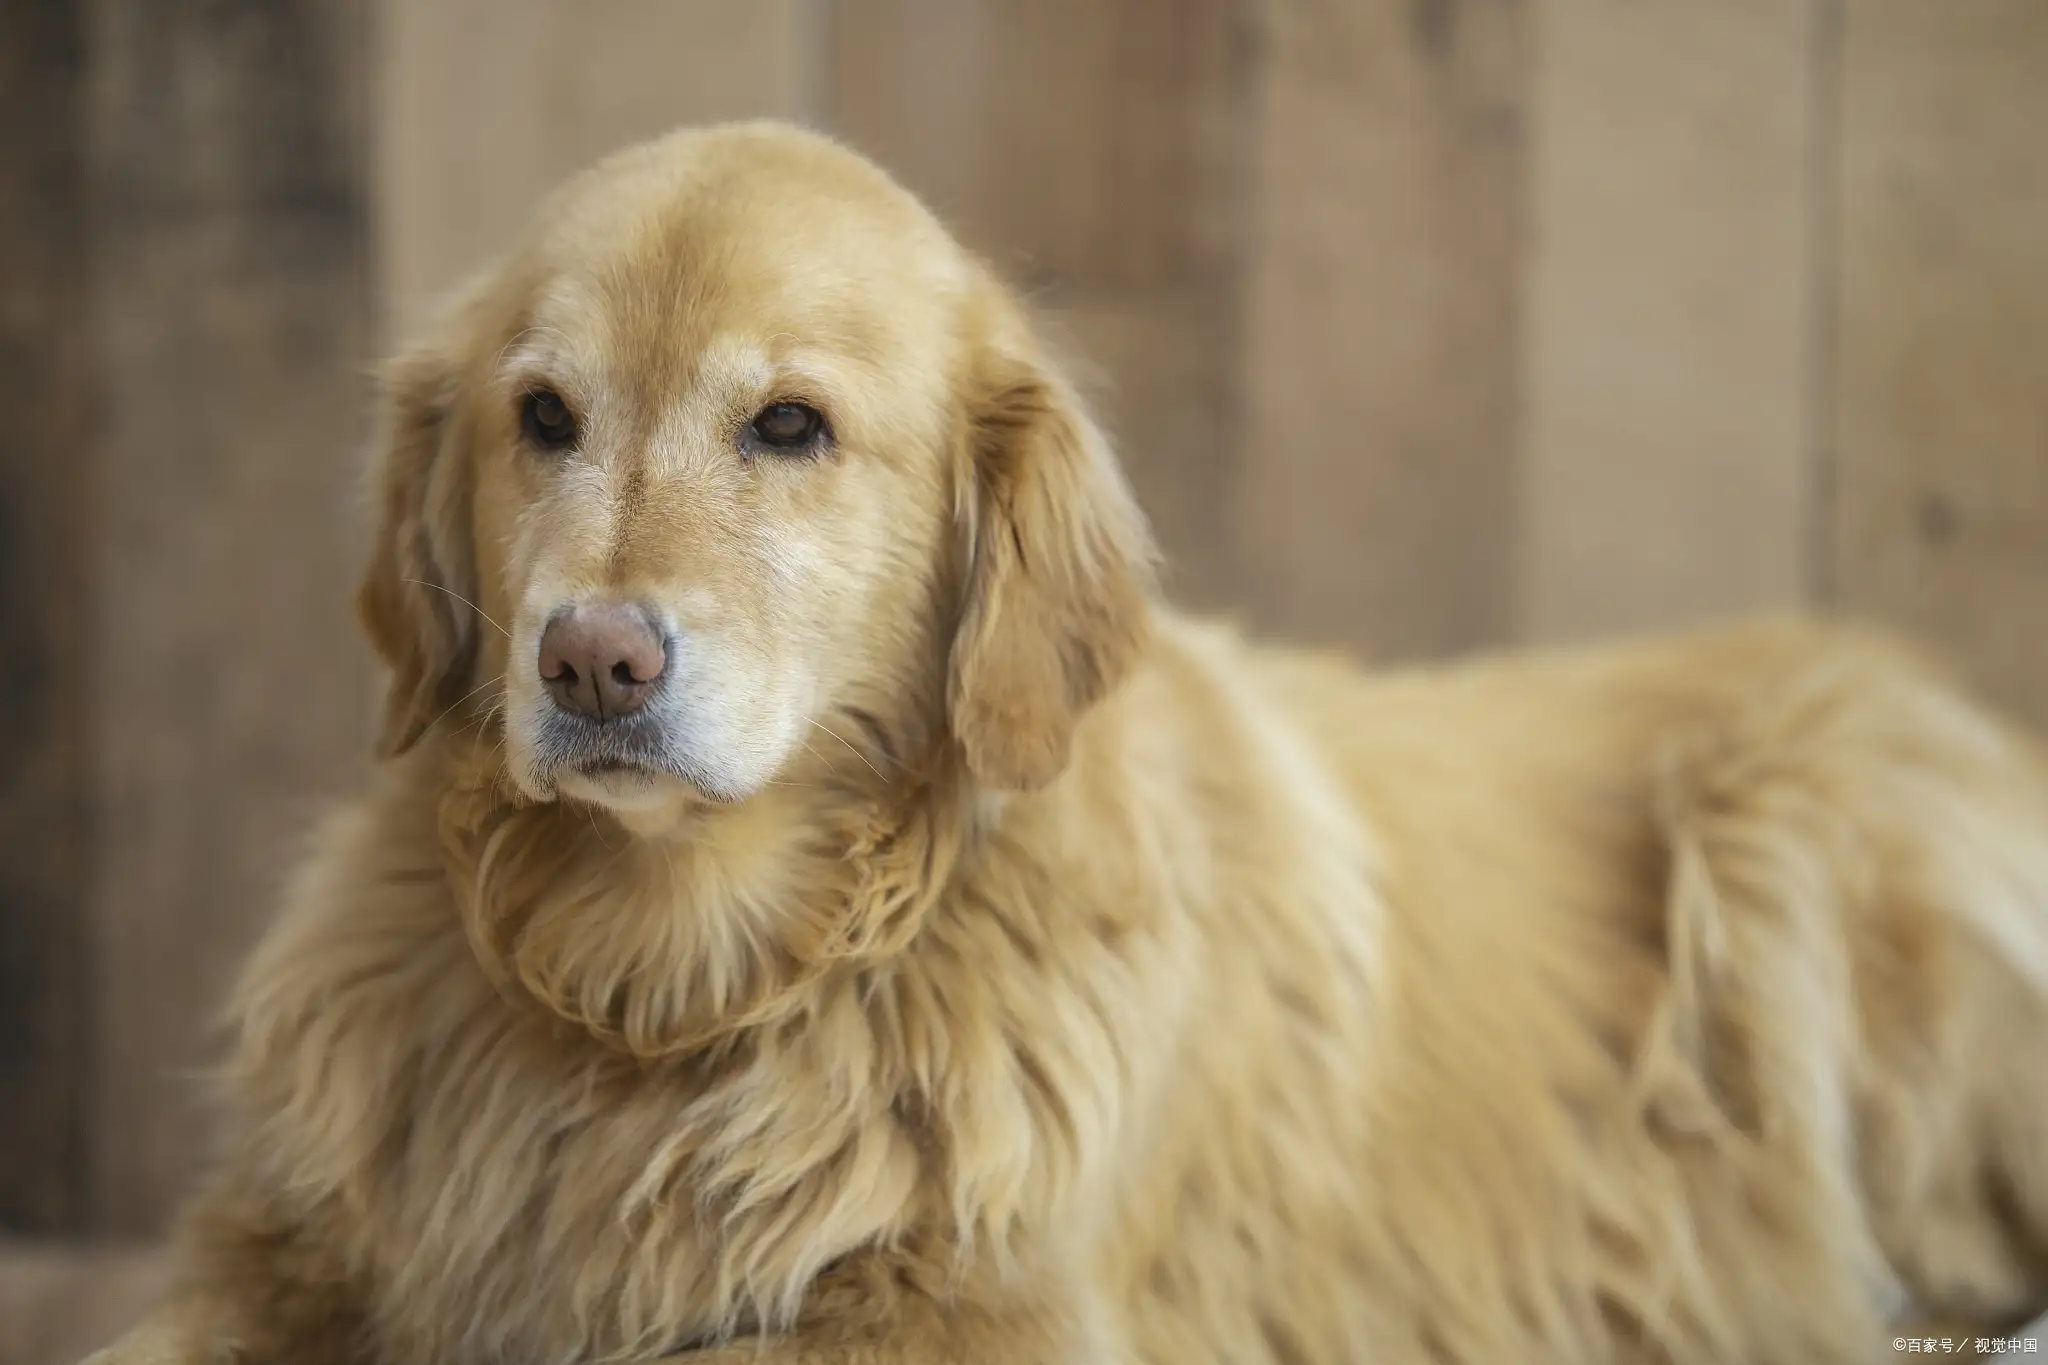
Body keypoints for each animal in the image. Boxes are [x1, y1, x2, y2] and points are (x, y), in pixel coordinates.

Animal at [88, 122, 2048, 1358]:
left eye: (788, 425)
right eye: (543, 417)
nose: (590, 662)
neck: (677, 997)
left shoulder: (983, 1319)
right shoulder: (273, 1254)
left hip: (1800, 829)